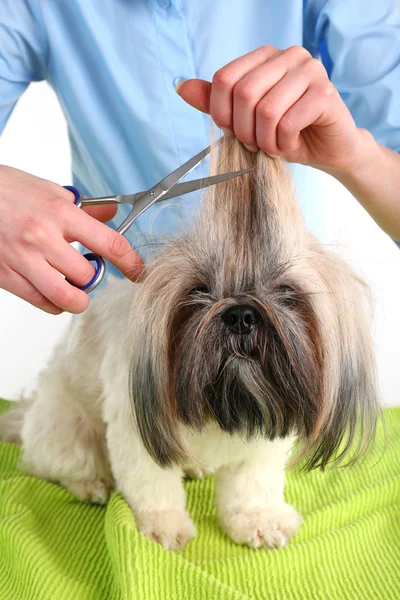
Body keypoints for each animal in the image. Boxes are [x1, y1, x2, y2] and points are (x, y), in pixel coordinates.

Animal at [0, 138, 380, 552]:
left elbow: (252, 486)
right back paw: (90, 484)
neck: (221, 405)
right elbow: (154, 487)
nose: (241, 314)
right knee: (52, 462)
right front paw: (163, 528)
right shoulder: (136, 429)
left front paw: (258, 519)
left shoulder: (263, 441)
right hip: (67, 429)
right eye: (198, 291)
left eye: (285, 292)